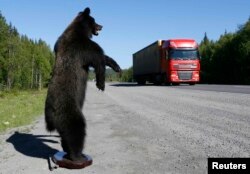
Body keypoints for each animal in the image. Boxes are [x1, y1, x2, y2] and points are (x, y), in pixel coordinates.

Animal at [45, 7, 122, 165]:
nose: (102, 26)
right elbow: (98, 58)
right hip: (69, 113)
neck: (79, 30)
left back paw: (68, 151)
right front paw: (101, 84)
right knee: (76, 130)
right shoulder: (82, 47)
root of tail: (50, 117)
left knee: (66, 137)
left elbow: (104, 57)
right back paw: (78, 156)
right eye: (95, 20)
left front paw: (116, 66)